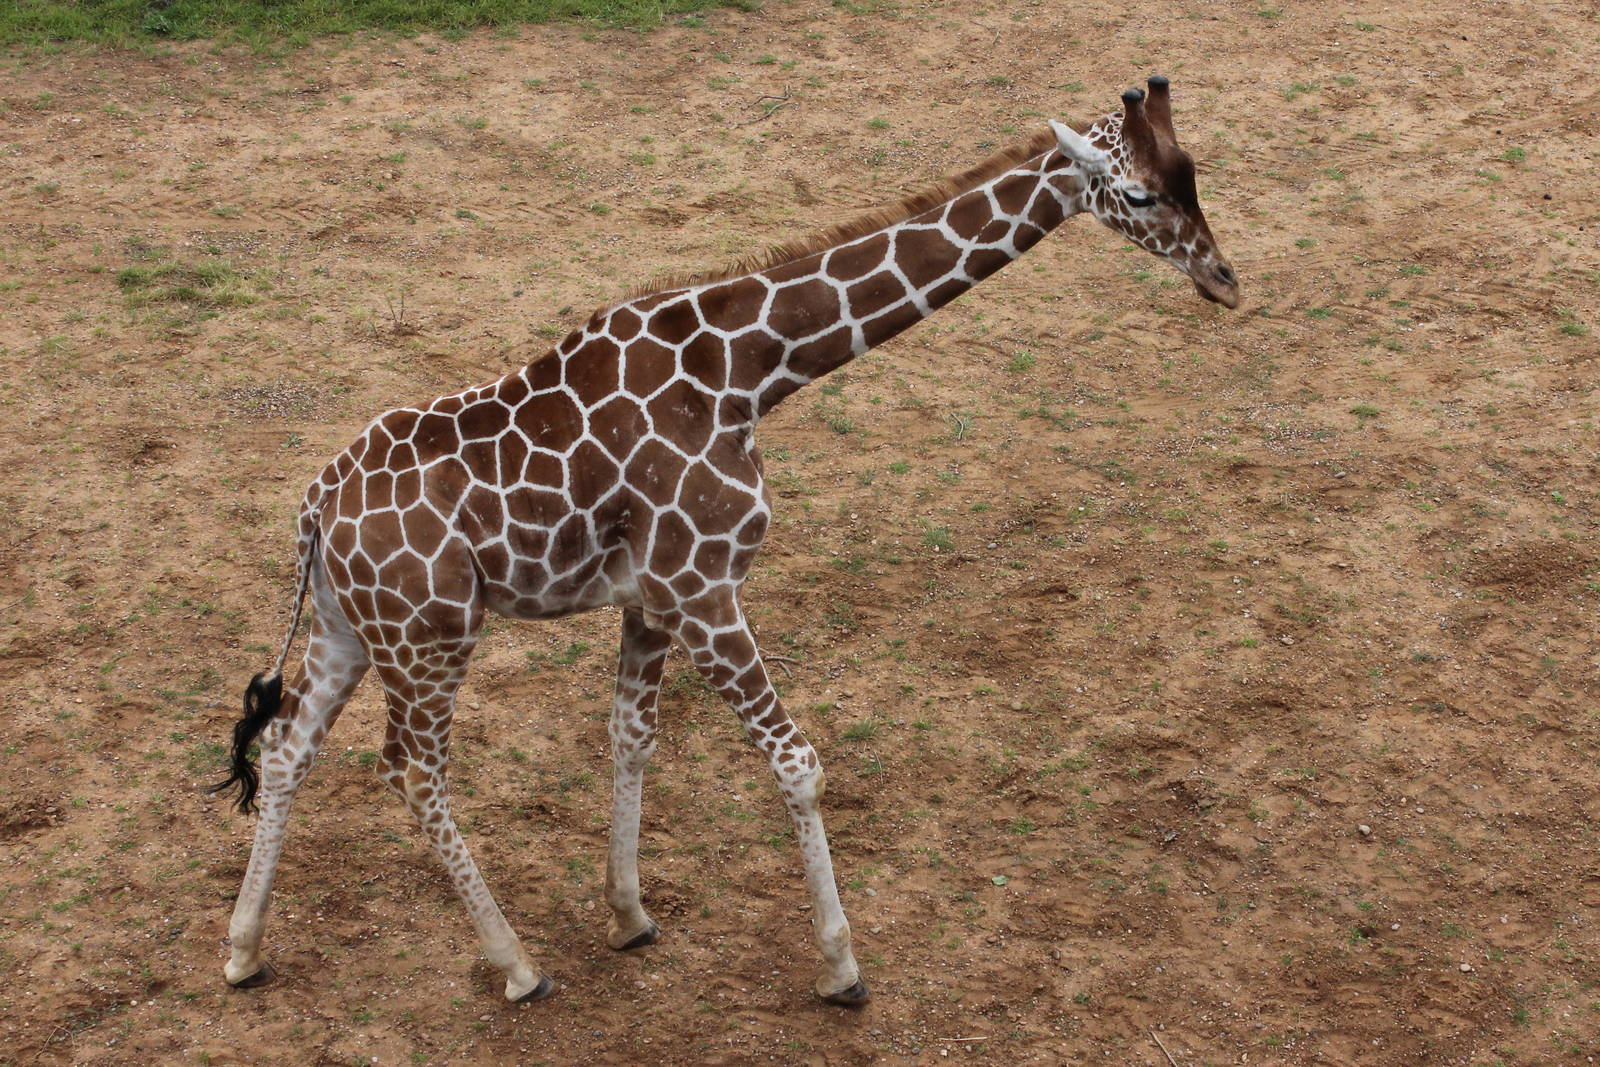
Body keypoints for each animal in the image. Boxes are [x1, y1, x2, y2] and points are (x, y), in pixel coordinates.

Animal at [212, 77, 1238, 1006]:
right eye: (1139, 195)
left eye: (1193, 174)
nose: (1224, 280)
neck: (746, 370)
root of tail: (313, 511)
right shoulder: (705, 587)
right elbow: (797, 763)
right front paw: (840, 967)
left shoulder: (651, 595)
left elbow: (631, 735)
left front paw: (629, 915)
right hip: (432, 636)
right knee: (412, 770)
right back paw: (517, 966)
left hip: (351, 629)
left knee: (291, 749)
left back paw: (243, 951)